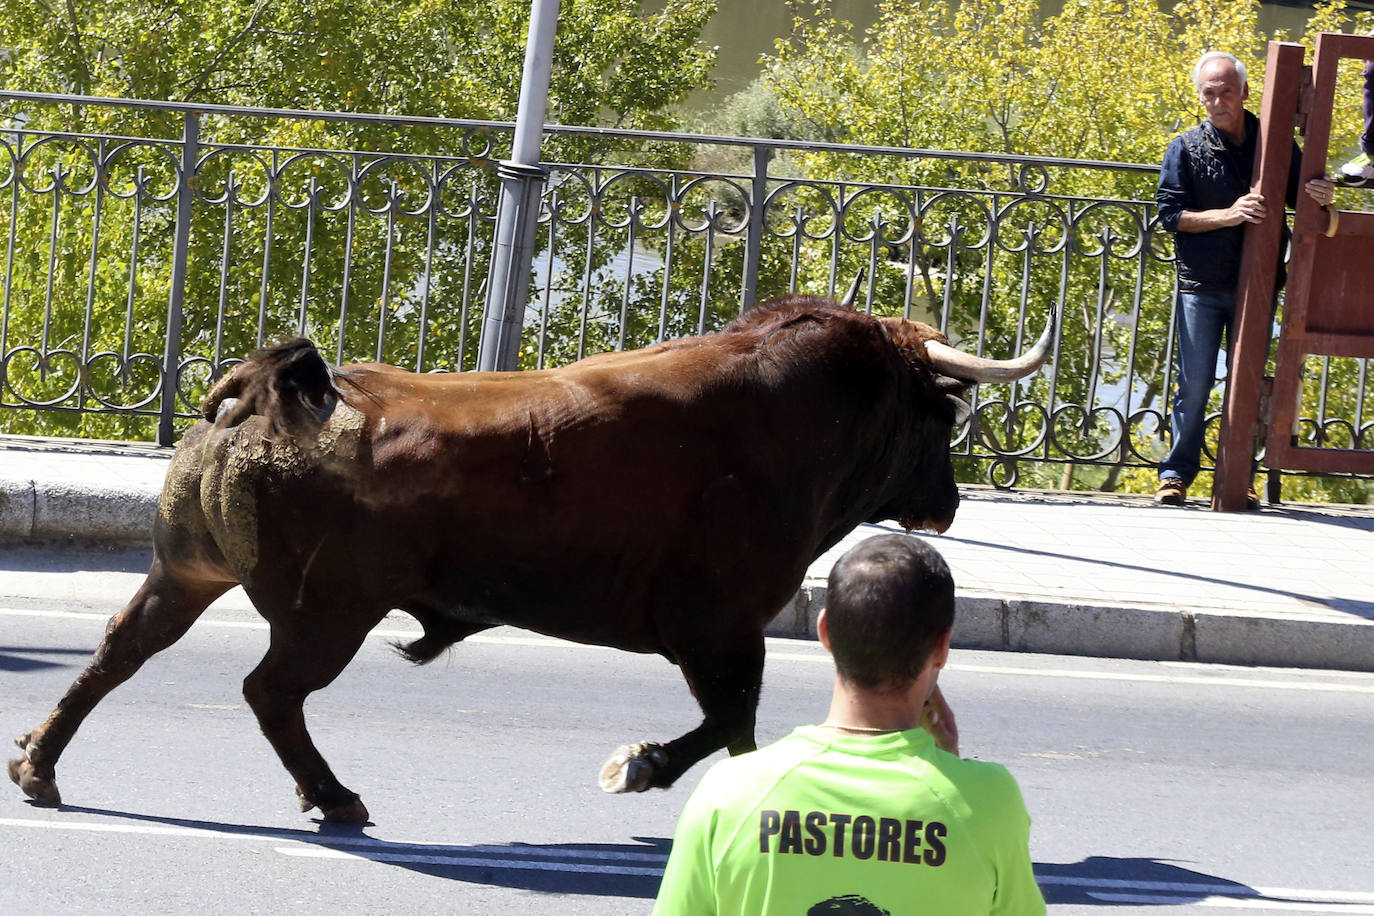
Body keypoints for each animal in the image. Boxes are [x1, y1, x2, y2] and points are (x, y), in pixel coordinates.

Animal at [8, 293, 1049, 823]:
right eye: (940, 413)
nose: (949, 501)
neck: (782, 416)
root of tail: (266, 391)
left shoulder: (719, 635)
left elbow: (735, 724)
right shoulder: (720, 627)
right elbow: (732, 722)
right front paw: (644, 768)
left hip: (186, 574)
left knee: (119, 652)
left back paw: (39, 764)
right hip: (326, 614)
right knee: (271, 692)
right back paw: (334, 796)